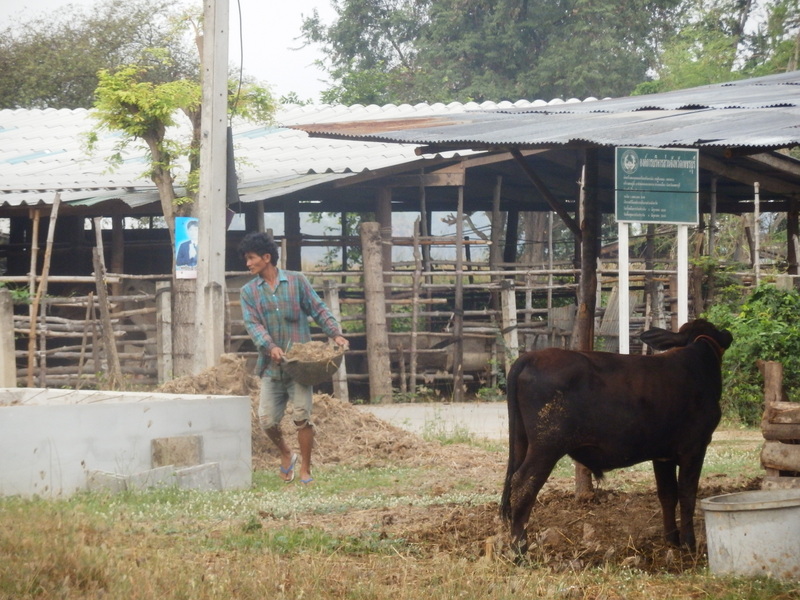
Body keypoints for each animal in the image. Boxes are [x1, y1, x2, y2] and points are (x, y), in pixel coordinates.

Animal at [500, 318, 732, 552]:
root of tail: (531, 356)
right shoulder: (694, 448)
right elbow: (687, 494)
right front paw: (689, 544)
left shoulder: (662, 454)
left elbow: (667, 494)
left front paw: (672, 540)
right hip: (547, 445)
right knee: (523, 485)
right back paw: (519, 550)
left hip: (522, 441)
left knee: (513, 483)